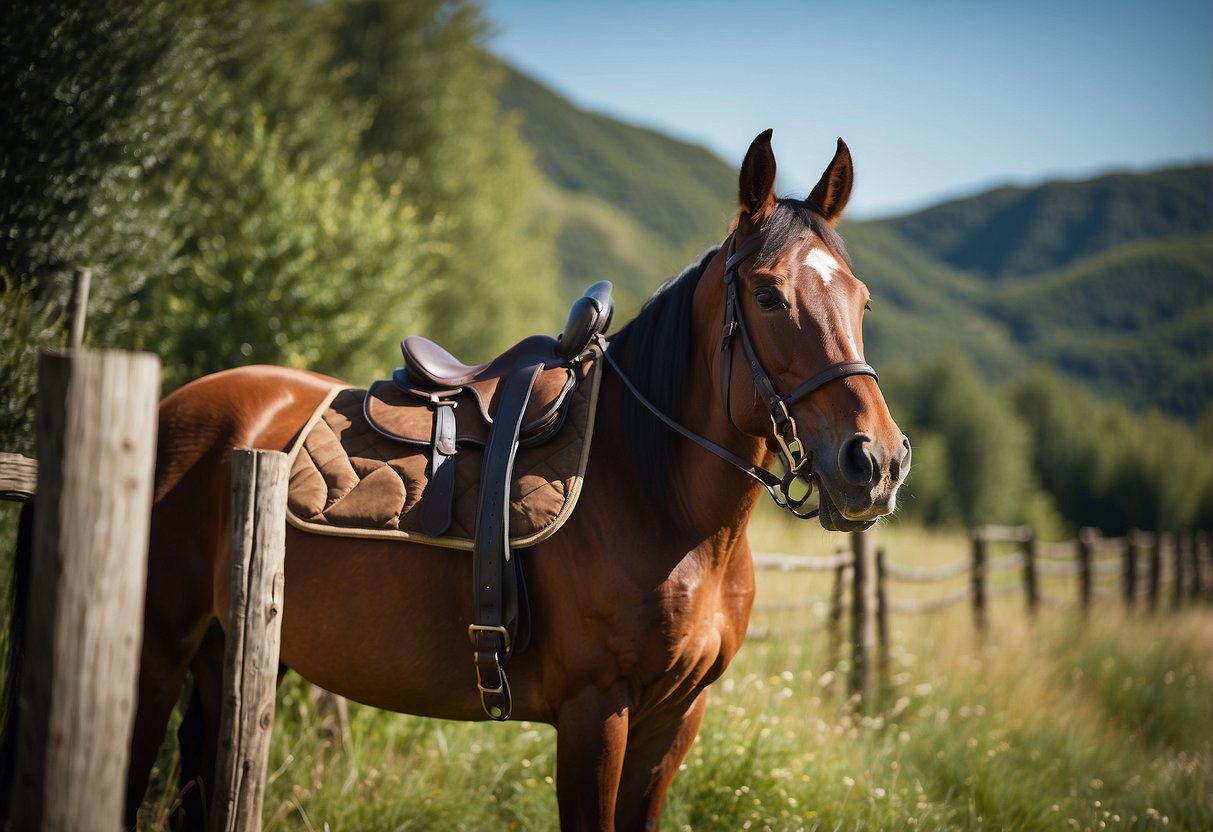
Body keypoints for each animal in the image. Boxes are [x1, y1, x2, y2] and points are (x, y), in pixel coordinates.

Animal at [2, 127, 912, 829]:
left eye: (862, 300)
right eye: (767, 295)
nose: (874, 462)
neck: (660, 504)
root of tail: (170, 410)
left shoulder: (674, 718)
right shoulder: (596, 715)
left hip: (232, 651)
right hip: (152, 654)